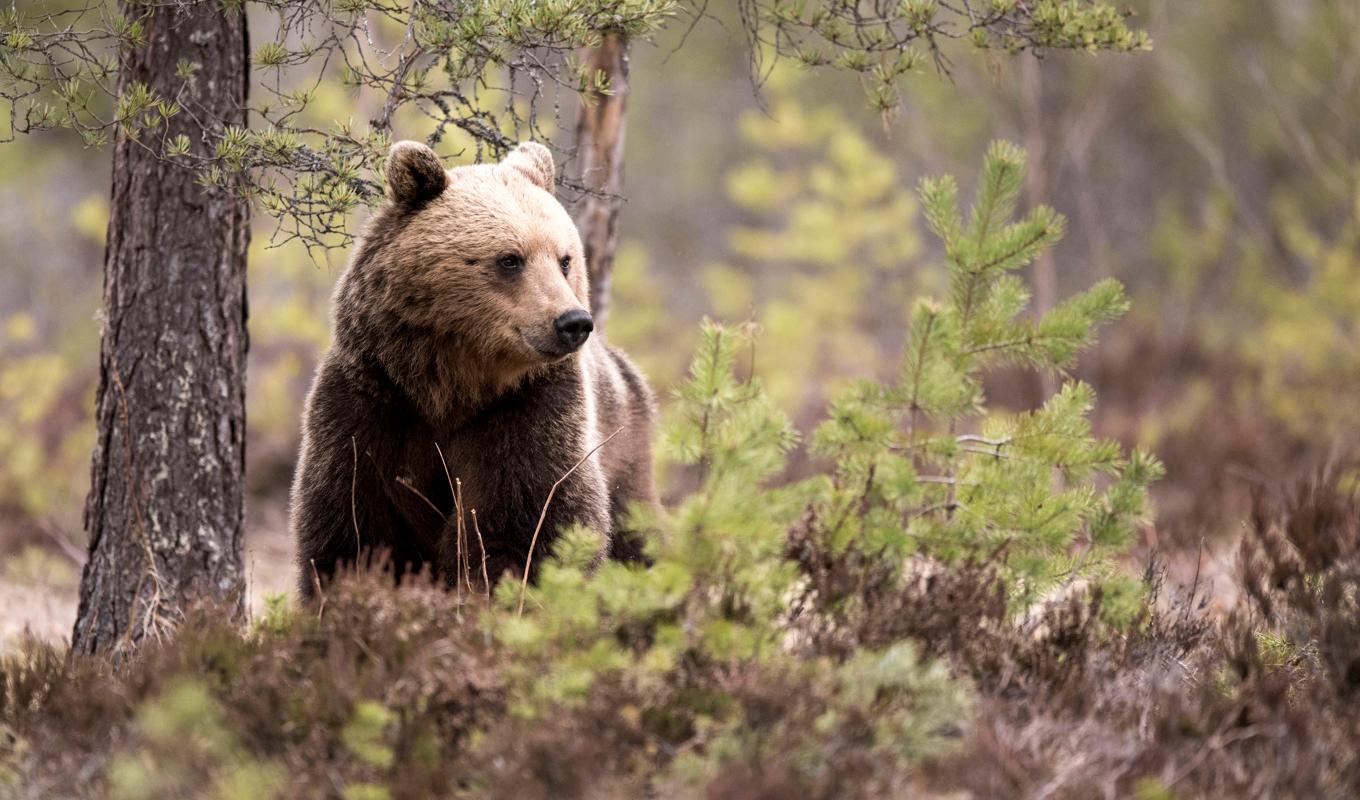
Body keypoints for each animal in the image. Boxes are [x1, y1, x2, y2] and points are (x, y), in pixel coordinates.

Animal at [292, 138, 658, 598]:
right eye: (510, 259)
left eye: (565, 259)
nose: (573, 321)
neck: (451, 385)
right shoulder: (373, 401)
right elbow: (353, 521)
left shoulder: (528, 409)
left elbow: (525, 521)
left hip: (623, 446)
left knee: (634, 536)